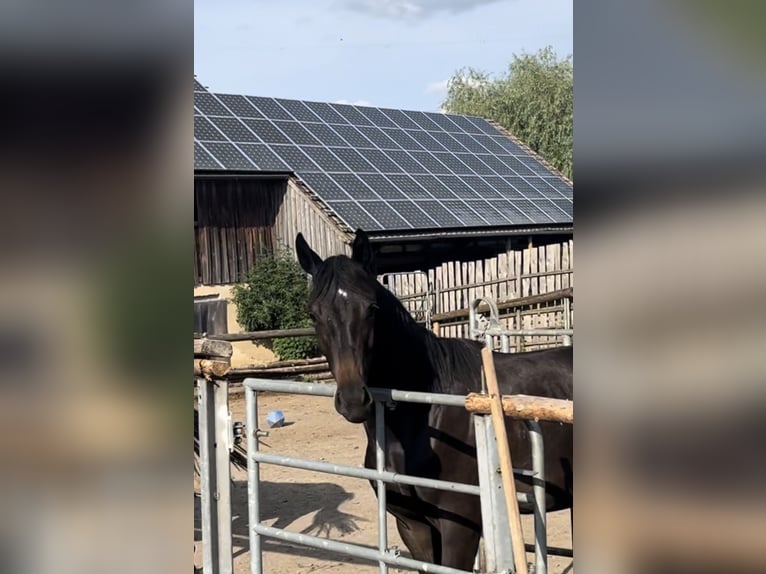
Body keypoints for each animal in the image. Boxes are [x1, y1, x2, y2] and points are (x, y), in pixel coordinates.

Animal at [296, 228, 572, 572]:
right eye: (313, 314)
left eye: (371, 308)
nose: (353, 400)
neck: (426, 414)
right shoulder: (412, 524)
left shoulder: (460, 527)